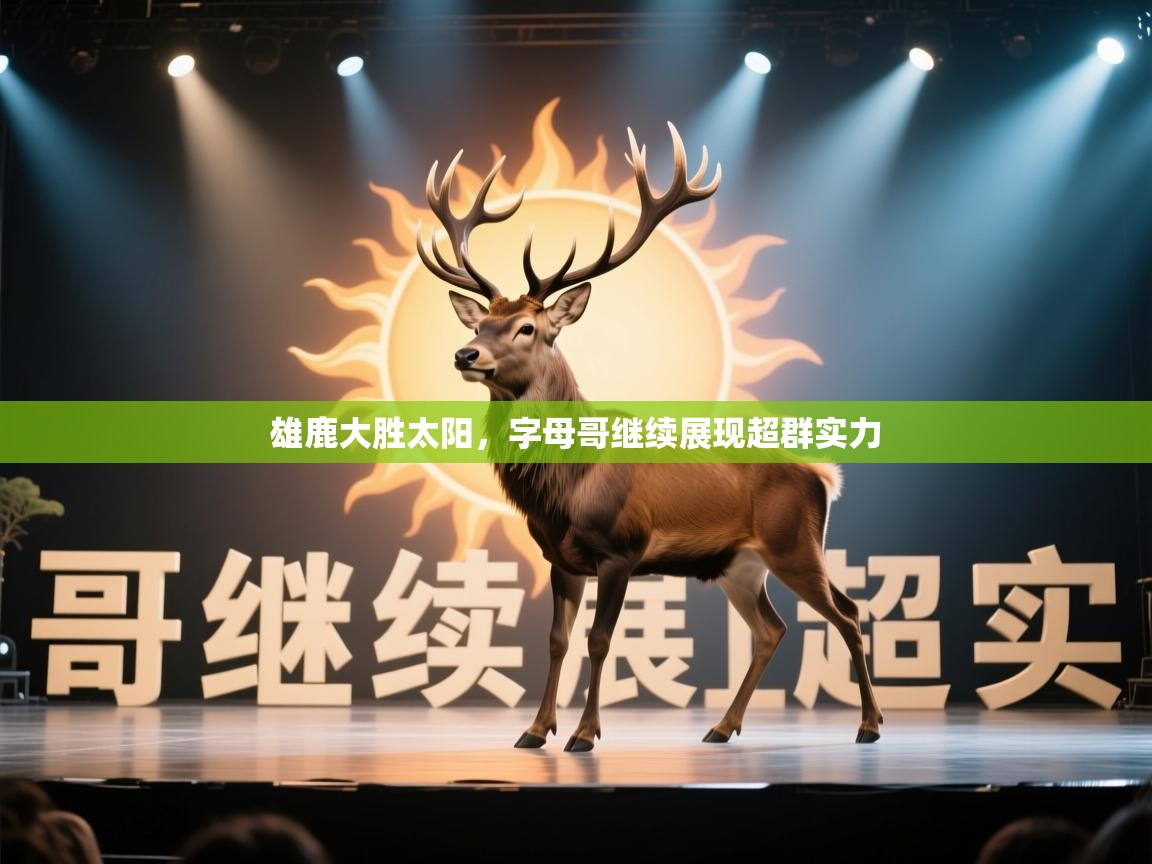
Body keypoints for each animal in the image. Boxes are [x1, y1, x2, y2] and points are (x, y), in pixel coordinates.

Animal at [414, 123, 883, 751]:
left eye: (527, 328)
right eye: (480, 323)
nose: (466, 355)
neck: (566, 490)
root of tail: (823, 477)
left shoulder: (622, 548)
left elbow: (599, 640)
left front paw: (585, 734)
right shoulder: (560, 558)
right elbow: (557, 641)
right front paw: (535, 730)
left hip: (796, 544)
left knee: (848, 613)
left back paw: (869, 725)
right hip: (739, 565)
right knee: (772, 628)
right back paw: (722, 726)